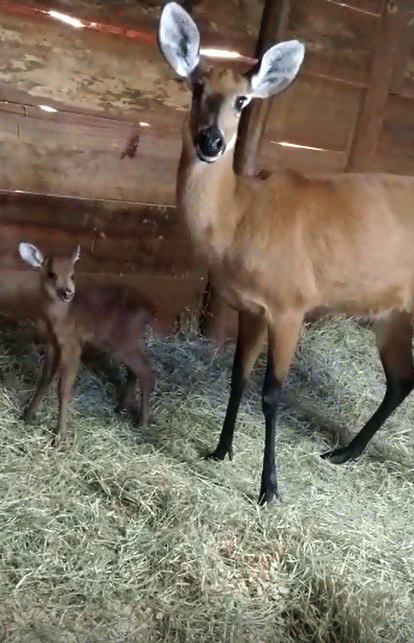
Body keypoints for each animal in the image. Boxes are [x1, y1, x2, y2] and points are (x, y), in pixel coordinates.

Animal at [17, 243, 158, 448]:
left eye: (72, 275)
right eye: (51, 274)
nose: (68, 292)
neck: (61, 319)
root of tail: (149, 308)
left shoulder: (72, 346)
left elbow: (63, 389)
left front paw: (59, 436)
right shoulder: (52, 344)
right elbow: (45, 379)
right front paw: (28, 415)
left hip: (123, 340)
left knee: (146, 372)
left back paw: (142, 422)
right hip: (127, 340)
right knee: (135, 370)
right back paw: (121, 406)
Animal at [158, 2, 414, 506]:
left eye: (242, 101)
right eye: (197, 87)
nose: (211, 142)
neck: (240, 219)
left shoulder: (291, 305)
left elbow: (271, 393)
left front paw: (269, 488)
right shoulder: (250, 308)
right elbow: (238, 376)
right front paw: (219, 450)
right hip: (393, 312)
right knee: (400, 380)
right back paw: (344, 452)